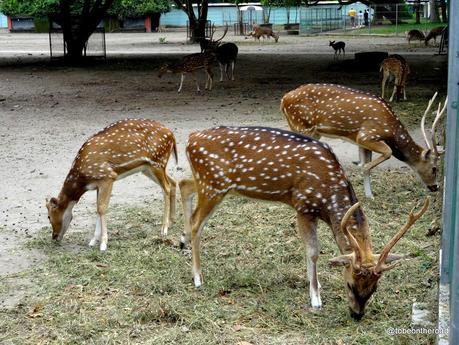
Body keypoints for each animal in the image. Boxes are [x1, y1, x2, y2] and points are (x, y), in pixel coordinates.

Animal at [45, 118, 178, 250]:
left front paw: (103, 244)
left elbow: (102, 208)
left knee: (166, 187)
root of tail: (172, 135)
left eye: (49, 216)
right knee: (172, 182)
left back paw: (164, 229)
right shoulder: (98, 183)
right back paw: (171, 222)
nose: (54, 237)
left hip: (158, 162)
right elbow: (98, 208)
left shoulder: (108, 177)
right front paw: (93, 241)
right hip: (147, 168)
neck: (82, 179)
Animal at [179, 125, 432, 318]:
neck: (328, 197)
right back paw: (198, 277)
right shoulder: (303, 206)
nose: (357, 315)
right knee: (196, 222)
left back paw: (182, 241)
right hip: (213, 184)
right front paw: (316, 298)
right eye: (350, 284)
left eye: (374, 289)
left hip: (209, 183)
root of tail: (190, 139)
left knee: (184, 185)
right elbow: (312, 251)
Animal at [282, 82, 448, 199]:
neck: (391, 129)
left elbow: (367, 164)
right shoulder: (367, 135)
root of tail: (284, 100)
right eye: (434, 168)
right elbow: (383, 155)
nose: (435, 187)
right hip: (302, 125)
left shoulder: (360, 140)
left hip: (310, 131)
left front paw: (370, 196)